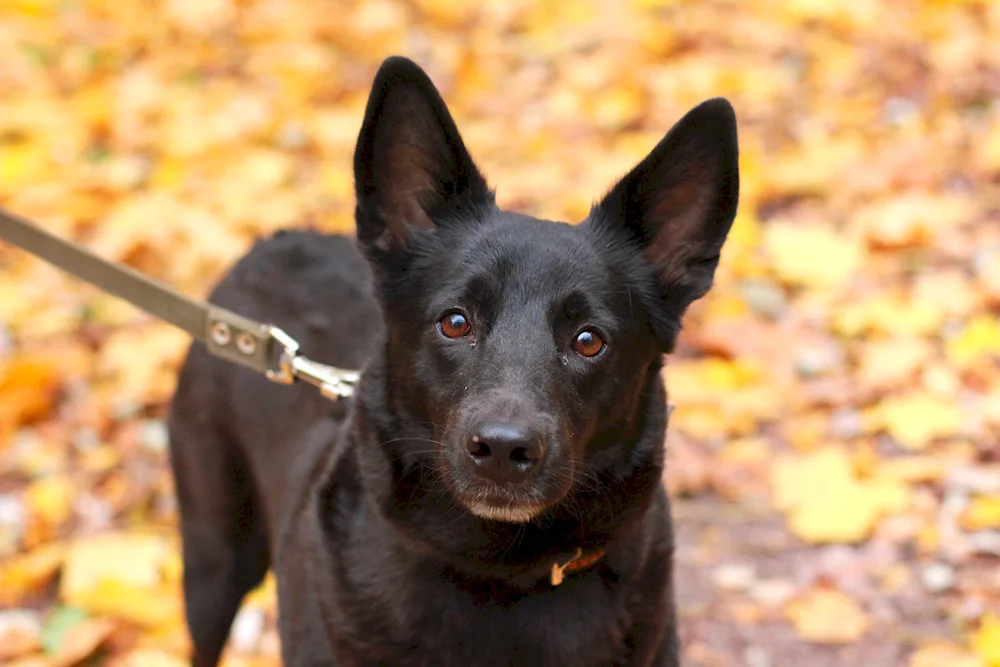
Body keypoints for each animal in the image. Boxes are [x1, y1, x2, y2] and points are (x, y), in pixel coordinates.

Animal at [168, 54, 740, 664]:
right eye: (456, 322)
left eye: (589, 340)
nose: (504, 449)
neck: (500, 572)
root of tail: (273, 240)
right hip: (213, 561)